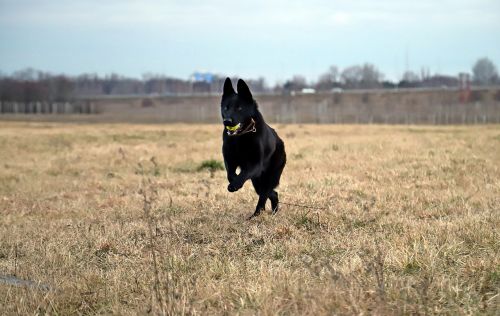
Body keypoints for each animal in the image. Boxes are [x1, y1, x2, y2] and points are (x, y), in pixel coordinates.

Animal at [222, 78, 288, 218]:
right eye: (226, 107)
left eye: (239, 108)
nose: (227, 121)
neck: (241, 137)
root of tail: (281, 142)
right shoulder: (229, 160)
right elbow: (231, 174)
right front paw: (234, 181)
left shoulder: (255, 164)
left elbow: (243, 174)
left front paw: (235, 185)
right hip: (257, 181)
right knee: (272, 193)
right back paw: (271, 212)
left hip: (267, 177)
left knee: (265, 194)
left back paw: (256, 215)